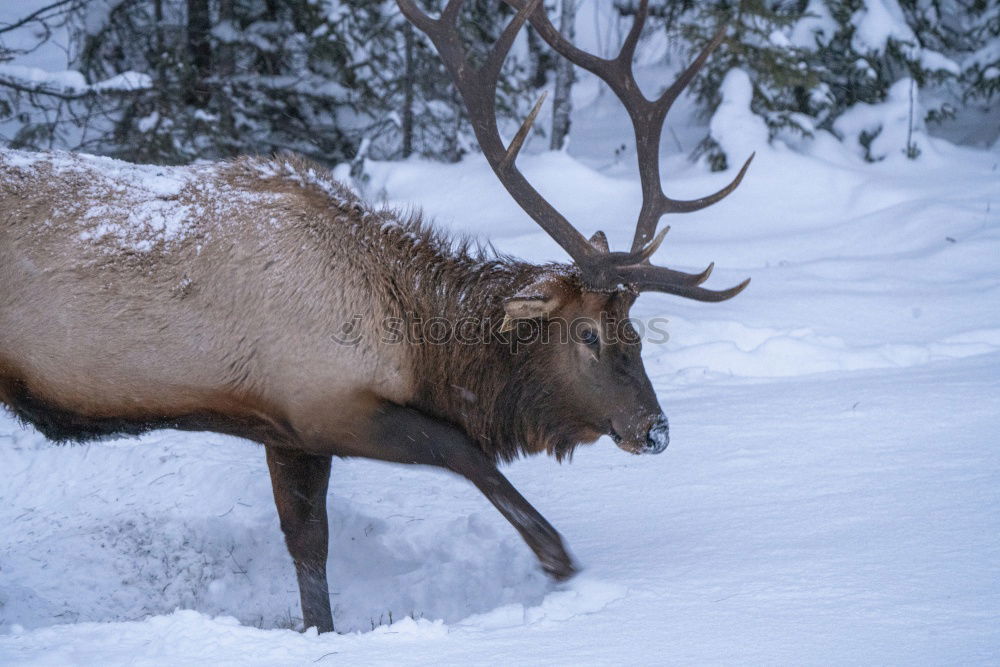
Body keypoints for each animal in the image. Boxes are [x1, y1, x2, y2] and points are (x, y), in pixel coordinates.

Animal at [0, 0, 752, 632]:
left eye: (636, 331)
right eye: (589, 333)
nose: (655, 430)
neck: (414, 341)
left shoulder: (286, 428)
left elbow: (309, 546)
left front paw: (320, 631)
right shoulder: (324, 403)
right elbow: (463, 451)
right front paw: (557, 557)